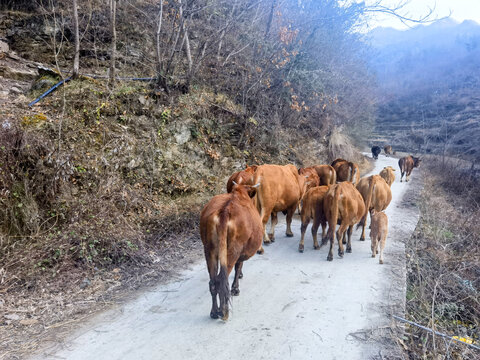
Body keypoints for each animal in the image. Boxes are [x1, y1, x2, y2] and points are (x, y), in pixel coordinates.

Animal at [200, 183, 262, 320]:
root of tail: (224, 211)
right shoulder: (242, 251)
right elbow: (238, 267)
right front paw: (236, 288)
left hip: (209, 250)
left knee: (213, 282)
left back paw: (214, 312)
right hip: (233, 250)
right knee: (221, 279)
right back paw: (223, 312)